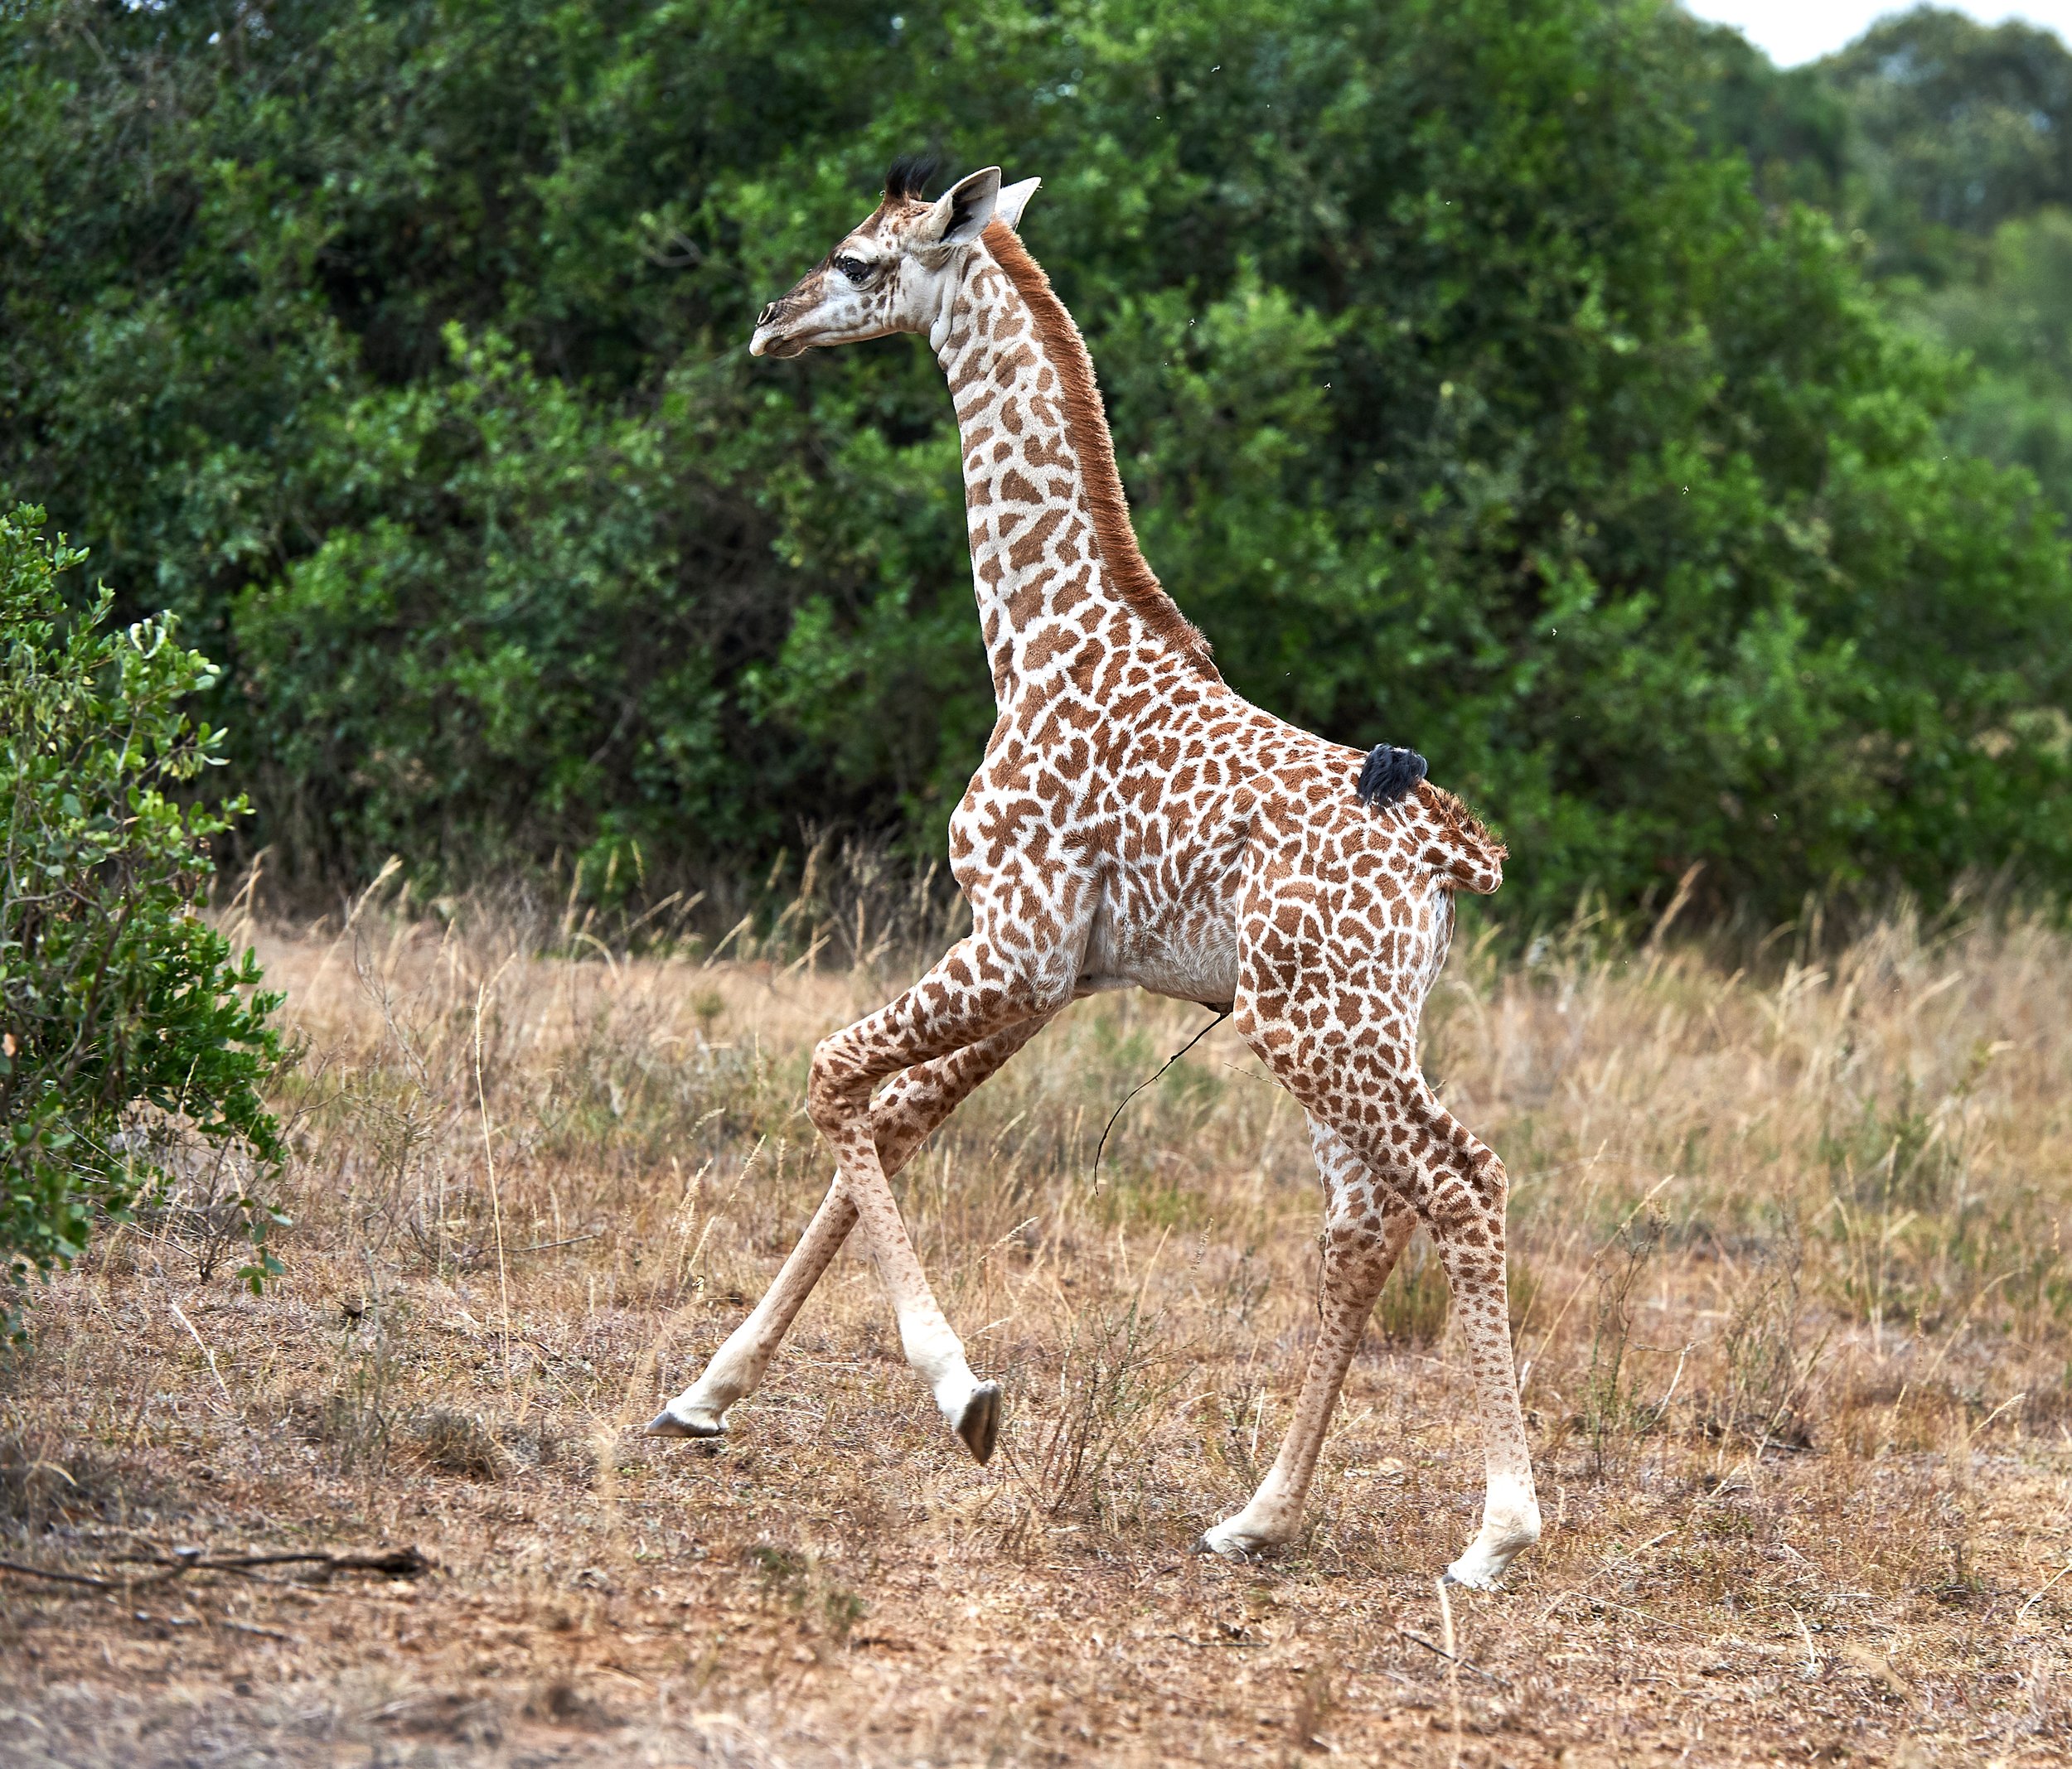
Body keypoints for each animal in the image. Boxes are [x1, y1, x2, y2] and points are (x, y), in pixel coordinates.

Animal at [648, 158, 1540, 1589]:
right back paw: (1257, 1513)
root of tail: (1447, 850)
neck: (1034, 638)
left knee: (1456, 1184)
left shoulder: (1014, 941)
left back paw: (1497, 1526)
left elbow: (833, 1076)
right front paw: (702, 1393)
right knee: (1372, 1214)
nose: (770, 323)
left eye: (854, 259)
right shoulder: (1058, 972)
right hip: (1347, 1019)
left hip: (1316, 1025)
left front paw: (964, 1395)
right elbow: (890, 1120)